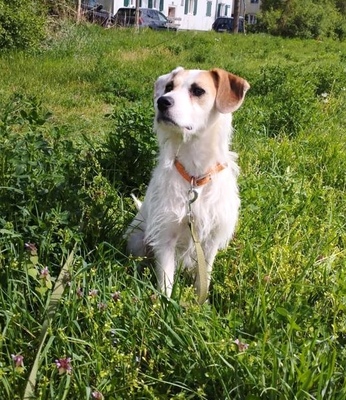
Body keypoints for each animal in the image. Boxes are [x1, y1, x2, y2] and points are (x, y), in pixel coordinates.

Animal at [125, 67, 250, 302]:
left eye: (198, 90)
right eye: (168, 87)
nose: (162, 101)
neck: (195, 176)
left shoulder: (210, 242)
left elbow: (204, 277)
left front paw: (202, 304)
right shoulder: (166, 237)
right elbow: (166, 282)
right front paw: (165, 306)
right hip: (138, 241)